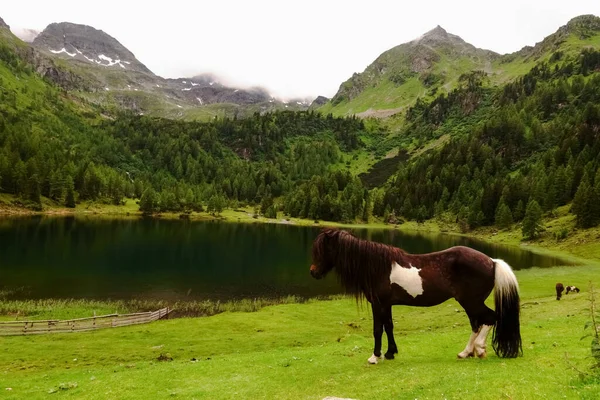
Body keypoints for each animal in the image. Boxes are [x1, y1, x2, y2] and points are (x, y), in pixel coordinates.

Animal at [310, 228, 520, 362]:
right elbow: (389, 327)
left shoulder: (378, 304)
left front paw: (375, 356)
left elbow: (378, 329)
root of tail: (492, 261)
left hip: (471, 301)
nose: (313, 272)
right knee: (477, 324)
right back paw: (466, 352)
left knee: (490, 318)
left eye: (323, 250)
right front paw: (390, 353)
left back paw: (480, 349)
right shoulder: (387, 305)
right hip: (469, 303)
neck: (378, 267)